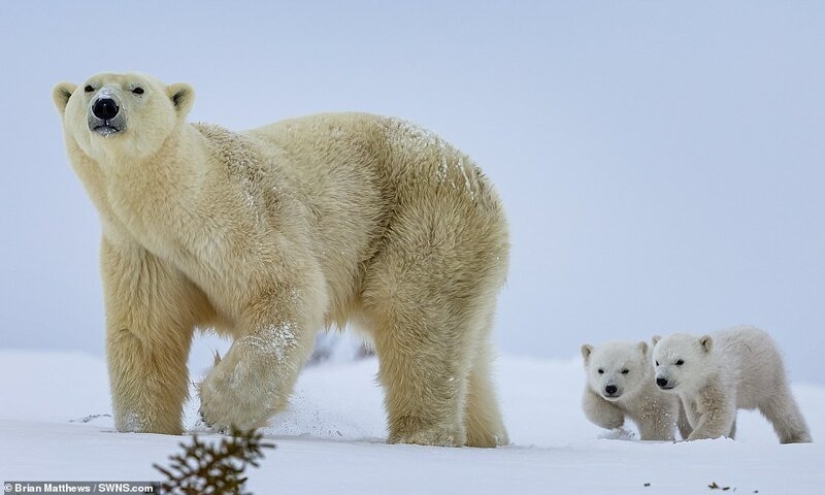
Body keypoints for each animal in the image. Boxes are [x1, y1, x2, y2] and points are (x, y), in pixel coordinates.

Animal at [52, 72, 510, 448]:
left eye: (137, 88)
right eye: (89, 87)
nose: (105, 107)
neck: (175, 205)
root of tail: (482, 182)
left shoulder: (238, 216)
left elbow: (287, 291)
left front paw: (215, 408)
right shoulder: (142, 252)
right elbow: (146, 334)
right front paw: (143, 431)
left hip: (425, 227)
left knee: (420, 328)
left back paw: (422, 436)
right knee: (469, 353)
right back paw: (488, 437)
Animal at [652, 326, 812, 444]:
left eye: (679, 361)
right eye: (657, 362)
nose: (661, 380)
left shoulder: (717, 383)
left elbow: (716, 414)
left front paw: (693, 439)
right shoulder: (690, 394)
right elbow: (697, 414)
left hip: (768, 376)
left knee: (782, 407)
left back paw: (798, 438)